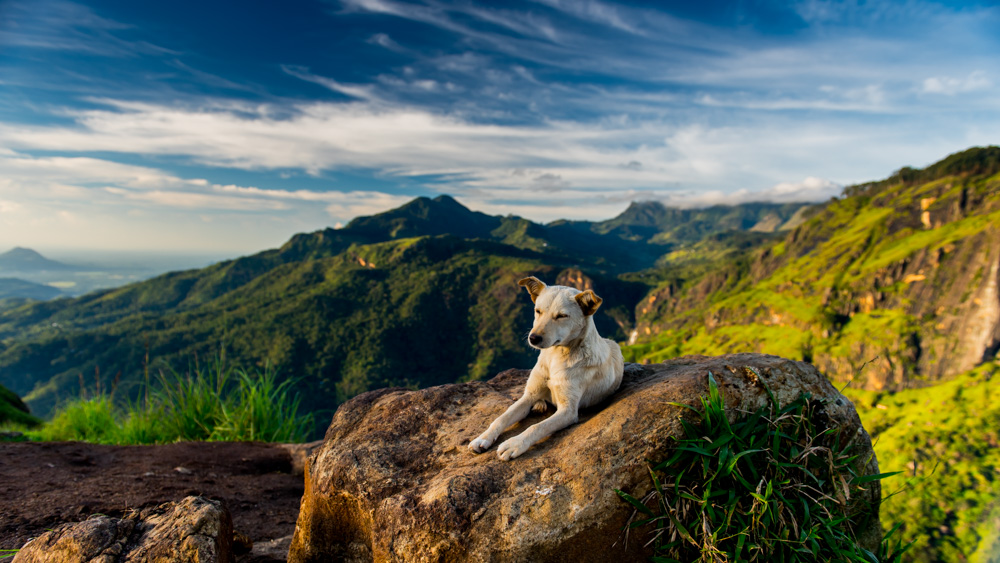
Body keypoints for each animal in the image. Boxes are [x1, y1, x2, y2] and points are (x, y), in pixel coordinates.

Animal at [470, 276, 624, 460]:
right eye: (538, 311)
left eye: (562, 316)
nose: (533, 338)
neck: (555, 357)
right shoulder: (529, 395)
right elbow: (502, 417)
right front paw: (483, 438)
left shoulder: (567, 411)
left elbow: (537, 427)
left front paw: (514, 444)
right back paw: (539, 405)